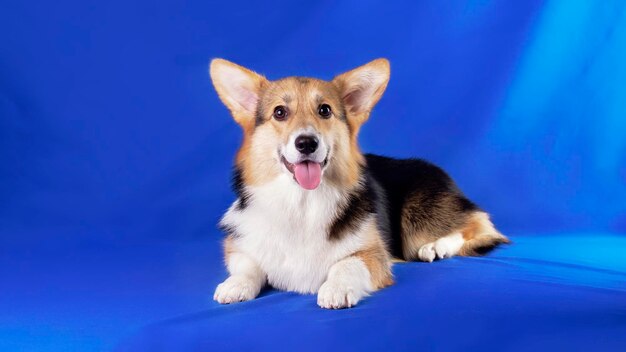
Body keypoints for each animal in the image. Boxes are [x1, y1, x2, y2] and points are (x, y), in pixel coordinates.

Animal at [210, 57, 508, 308]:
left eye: (325, 110)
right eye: (280, 112)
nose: (306, 143)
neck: (302, 203)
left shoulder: (372, 254)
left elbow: (346, 264)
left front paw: (337, 288)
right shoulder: (239, 246)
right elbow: (248, 266)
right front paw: (234, 285)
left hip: (418, 216)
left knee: (478, 225)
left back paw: (436, 247)